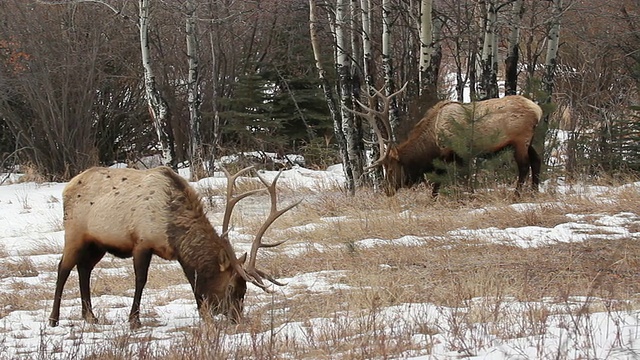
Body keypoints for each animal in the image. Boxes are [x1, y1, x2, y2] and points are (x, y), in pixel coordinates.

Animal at [47, 166, 298, 330]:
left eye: (244, 291)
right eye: (231, 288)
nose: (237, 319)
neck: (172, 229)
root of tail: (68, 186)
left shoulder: (179, 255)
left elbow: (193, 280)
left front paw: (203, 315)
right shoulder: (142, 242)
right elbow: (141, 280)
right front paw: (134, 320)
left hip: (97, 243)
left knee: (84, 269)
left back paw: (90, 316)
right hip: (74, 233)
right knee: (63, 268)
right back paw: (54, 319)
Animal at [352, 86, 544, 197]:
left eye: (391, 169)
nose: (387, 190)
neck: (432, 142)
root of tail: (538, 110)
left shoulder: (456, 153)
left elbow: (447, 180)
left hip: (520, 140)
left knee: (524, 166)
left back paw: (517, 195)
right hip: (530, 140)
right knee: (537, 160)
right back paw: (534, 192)